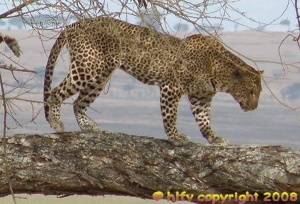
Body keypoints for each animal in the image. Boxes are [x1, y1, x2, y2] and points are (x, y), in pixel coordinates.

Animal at [43, 16, 264, 146]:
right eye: (252, 91)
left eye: (258, 93)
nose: (254, 107)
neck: (220, 76)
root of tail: (74, 24)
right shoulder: (172, 87)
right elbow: (170, 116)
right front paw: (176, 137)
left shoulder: (200, 97)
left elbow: (204, 119)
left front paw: (214, 137)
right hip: (88, 67)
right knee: (55, 92)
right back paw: (57, 124)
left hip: (100, 76)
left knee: (78, 102)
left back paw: (87, 127)